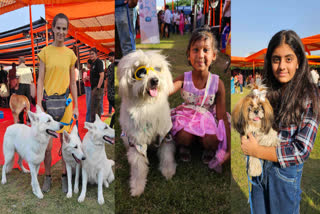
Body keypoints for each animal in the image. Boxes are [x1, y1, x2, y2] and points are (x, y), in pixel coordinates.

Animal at [117, 49, 178, 196]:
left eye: (157, 69)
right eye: (140, 72)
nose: (155, 80)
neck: (147, 105)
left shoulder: (165, 135)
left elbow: (167, 156)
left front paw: (168, 172)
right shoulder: (137, 143)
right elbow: (138, 168)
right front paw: (137, 187)